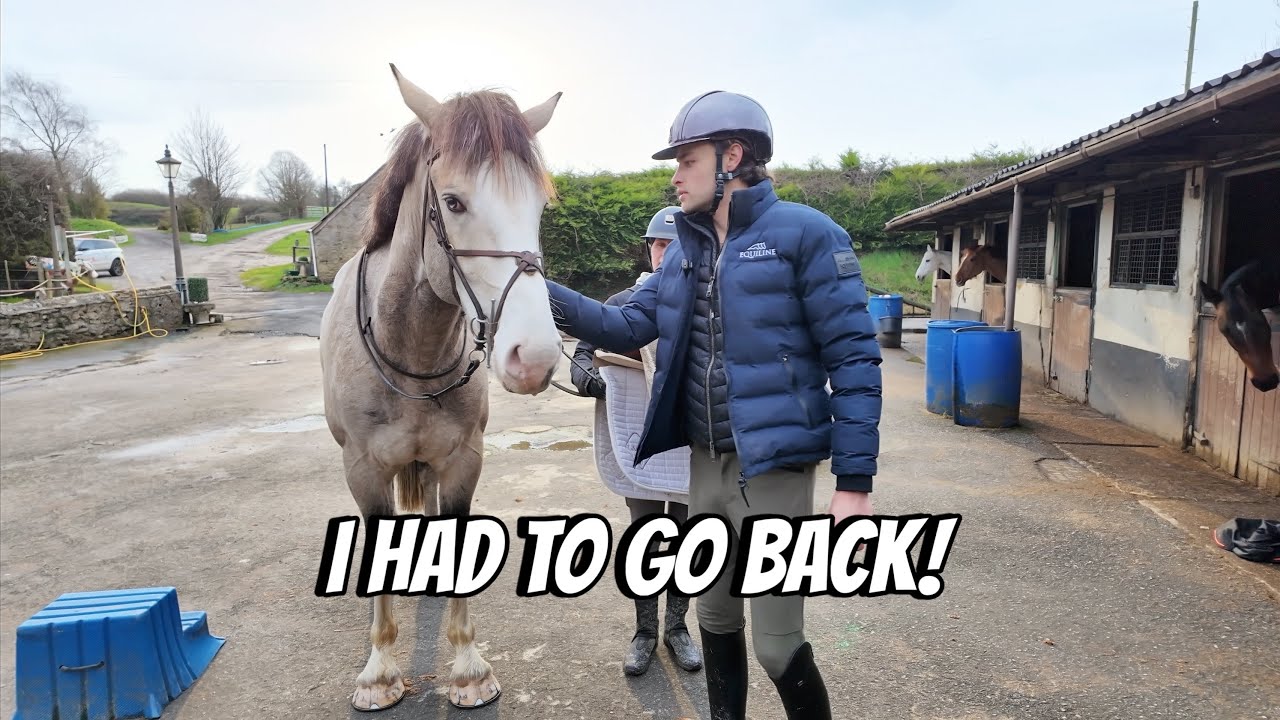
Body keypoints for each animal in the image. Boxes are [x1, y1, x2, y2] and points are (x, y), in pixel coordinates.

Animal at [318, 64, 565, 711]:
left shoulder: (461, 460)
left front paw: (468, 668)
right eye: (453, 202)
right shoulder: (363, 470)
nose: (534, 357)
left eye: (540, 205)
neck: (412, 350)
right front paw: (378, 672)